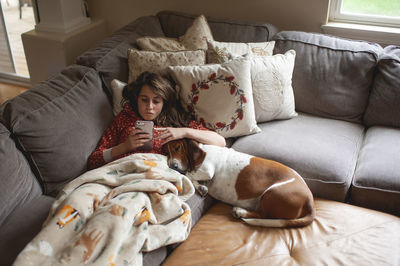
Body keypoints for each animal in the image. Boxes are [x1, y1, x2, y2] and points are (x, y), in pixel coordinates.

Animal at [163, 138, 316, 228]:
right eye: (166, 153)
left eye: (177, 148)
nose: (172, 166)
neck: (203, 150)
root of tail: (309, 201)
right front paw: (201, 187)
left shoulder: (207, 170)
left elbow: (188, 174)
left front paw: (199, 185)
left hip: (272, 193)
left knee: (264, 215)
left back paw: (239, 211)